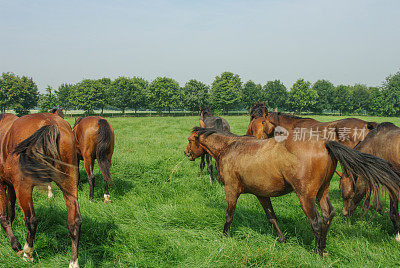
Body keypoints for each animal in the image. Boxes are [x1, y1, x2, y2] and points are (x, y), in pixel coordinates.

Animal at [0, 112, 81, 268]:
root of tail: (51, 123)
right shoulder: (11, 186)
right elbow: (11, 212)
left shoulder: (3, 184)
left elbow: (4, 216)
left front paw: (15, 245)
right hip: (69, 184)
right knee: (75, 222)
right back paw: (73, 262)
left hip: (23, 187)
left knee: (31, 220)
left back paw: (27, 252)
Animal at [184, 127, 400, 255]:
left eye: (190, 140)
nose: (186, 153)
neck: (230, 147)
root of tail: (325, 142)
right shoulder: (262, 194)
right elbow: (271, 217)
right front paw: (282, 239)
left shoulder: (231, 189)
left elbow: (229, 215)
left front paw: (224, 236)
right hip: (322, 192)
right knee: (328, 214)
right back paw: (323, 248)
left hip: (305, 196)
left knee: (317, 221)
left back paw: (317, 252)